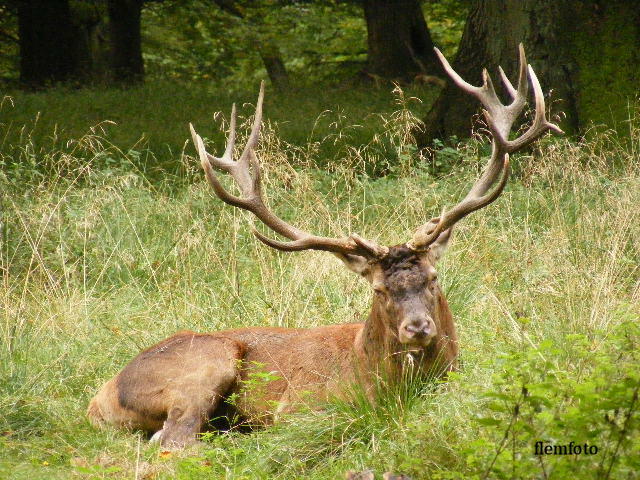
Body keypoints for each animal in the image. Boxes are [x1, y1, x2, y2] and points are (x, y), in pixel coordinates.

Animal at [86, 45, 560, 446]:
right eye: (378, 289)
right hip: (206, 362)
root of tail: (100, 397)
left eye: (433, 277)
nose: (418, 327)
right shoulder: (299, 406)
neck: (372, 378)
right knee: (174, 440)